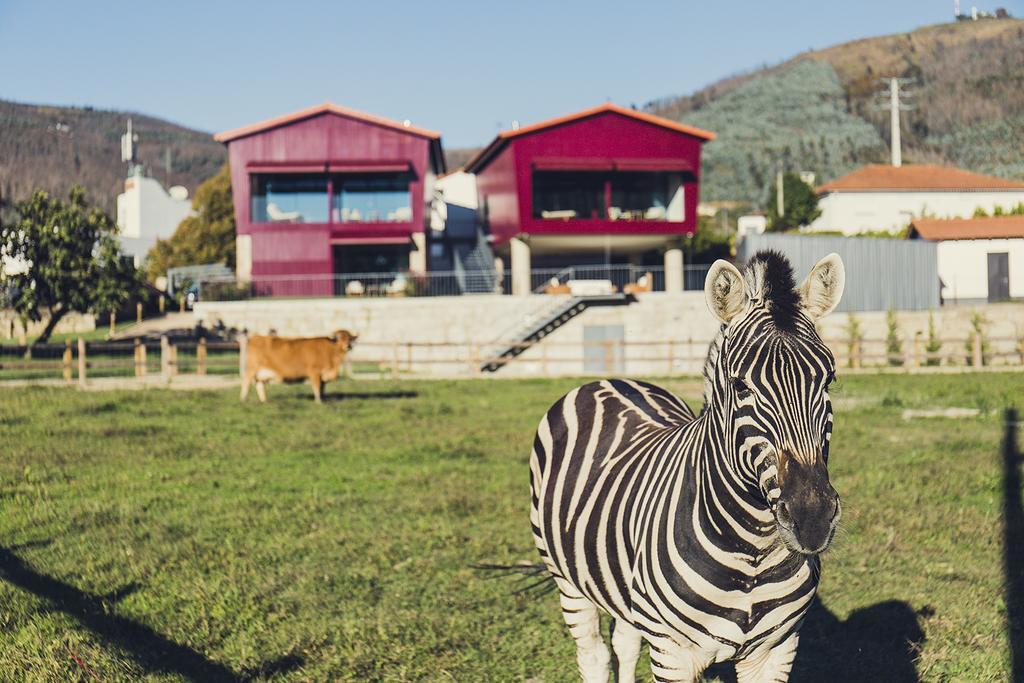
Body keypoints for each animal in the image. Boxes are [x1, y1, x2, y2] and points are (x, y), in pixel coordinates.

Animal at [532, 252, 843, 683]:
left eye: (829, 380)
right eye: (741, 386)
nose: (812, 519)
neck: (752, 551)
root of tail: (609, 379)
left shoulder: (777, 650)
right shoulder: (673, 653)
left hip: (625, 591)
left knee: (624, 644)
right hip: (568, 579)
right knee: (594, 655)